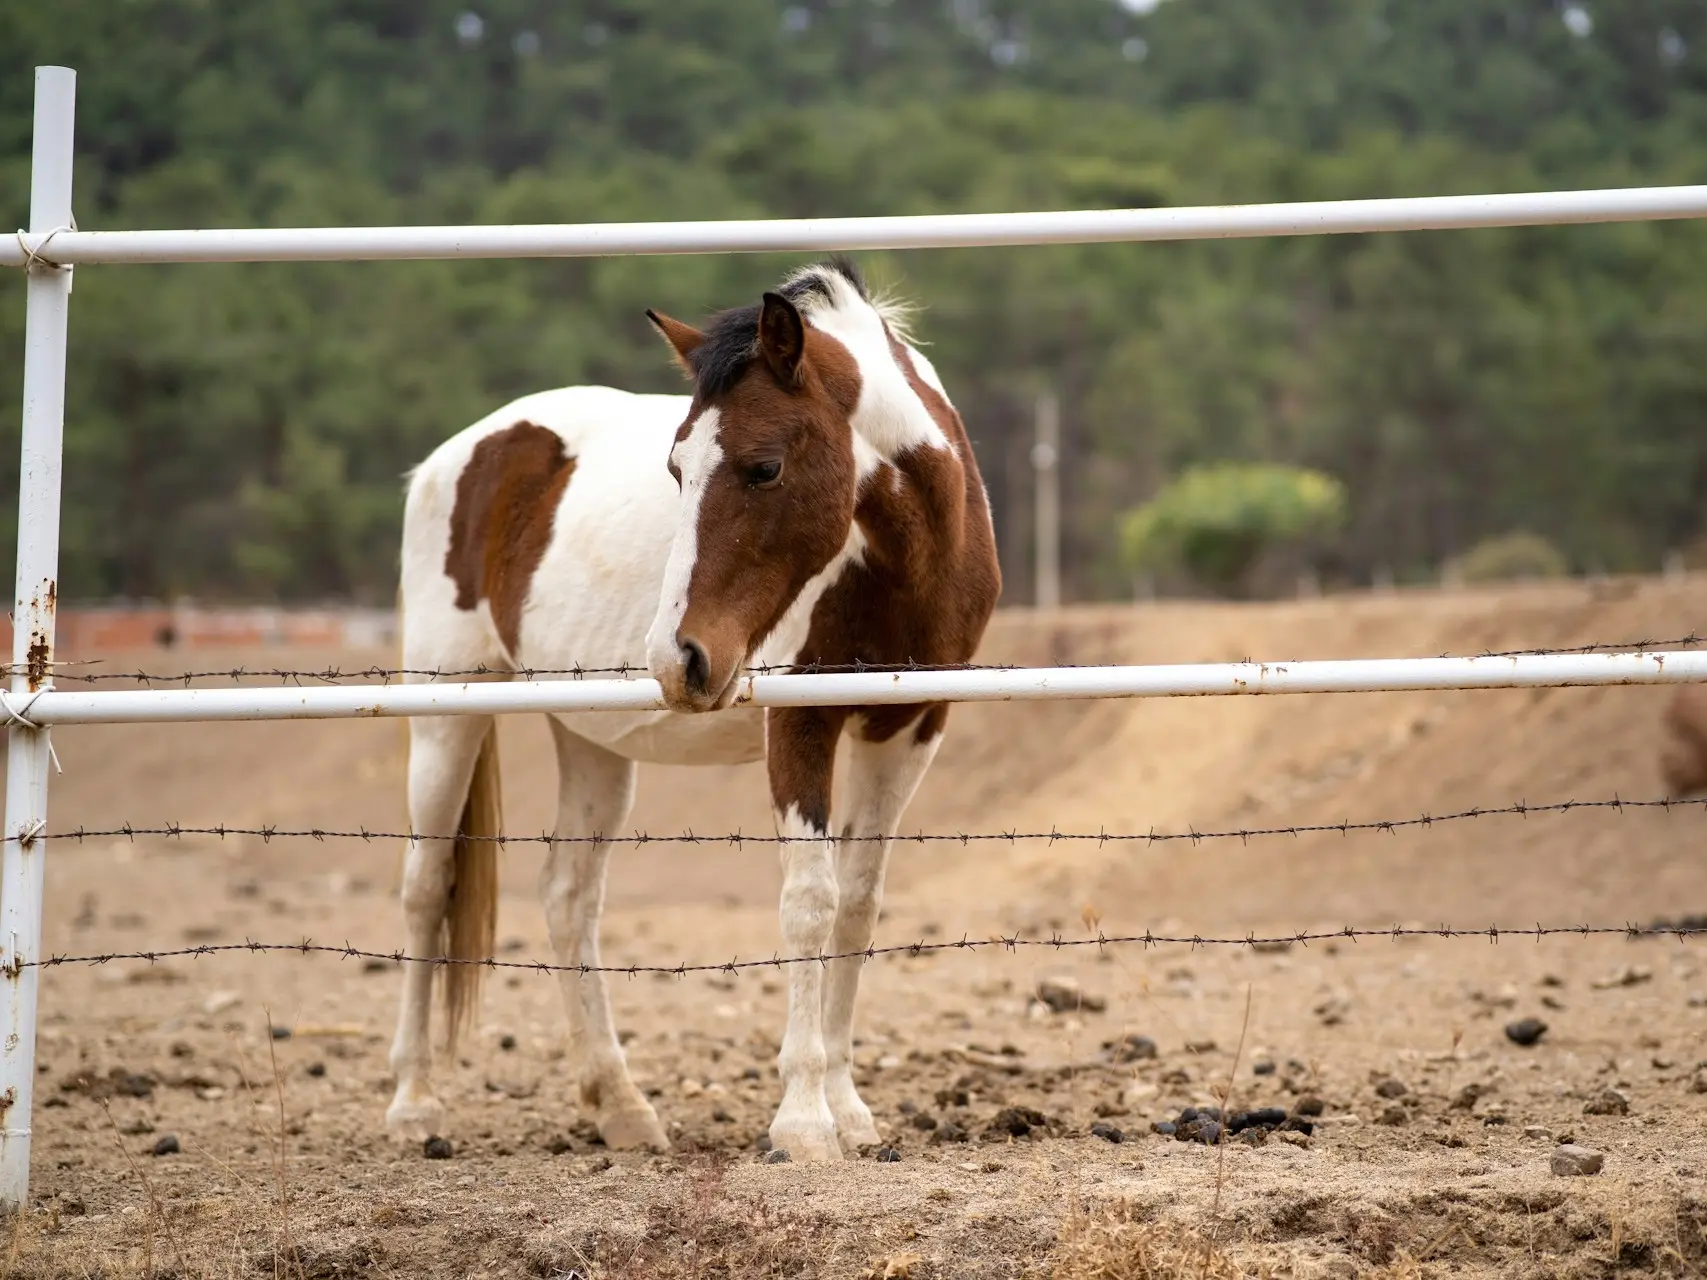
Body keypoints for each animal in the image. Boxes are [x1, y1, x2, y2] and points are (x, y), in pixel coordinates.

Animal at [384, 257, 996, 1160]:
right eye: (675, 469)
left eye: (764, 467)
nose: (679, 660)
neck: (900, 558)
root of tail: (464, 453)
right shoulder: (799, 724)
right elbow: (808, 903)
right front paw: (803, 1119)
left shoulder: (908, 724)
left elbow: (855, 903)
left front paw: (847, 1108)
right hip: (446, 712)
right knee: (426, 887)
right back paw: (414, 1104)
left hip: (590, 740)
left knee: (568, 897)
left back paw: (620, 1106)